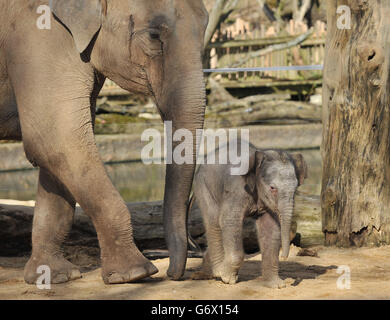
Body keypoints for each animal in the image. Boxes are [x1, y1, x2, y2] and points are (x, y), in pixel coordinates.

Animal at [0, 0, 210, 284]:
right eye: (154, 35)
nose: (172, 274)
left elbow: (57, 149)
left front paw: (56, 276)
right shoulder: (35, 37)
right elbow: (56, 140)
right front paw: (134, 274)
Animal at [192, 145, 308, 288]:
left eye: (296, 189)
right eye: (272, 188)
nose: (284, 256)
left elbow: (270, 228)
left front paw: (277, 285)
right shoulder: (236, 190)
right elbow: (229, 220)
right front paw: (228, 278)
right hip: (203, 186)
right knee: (213, 222)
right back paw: (218, 271)